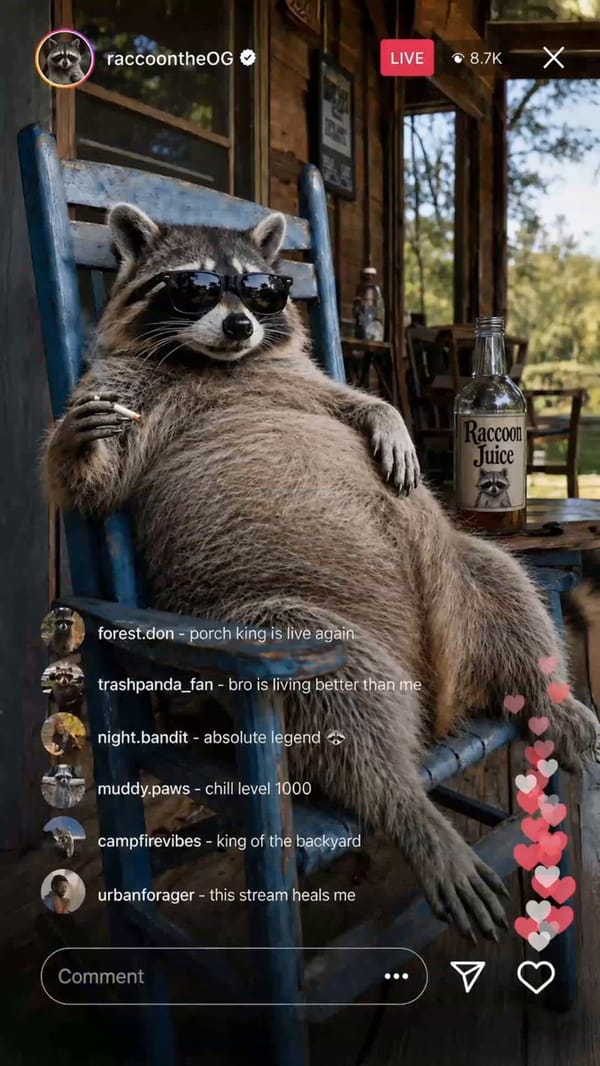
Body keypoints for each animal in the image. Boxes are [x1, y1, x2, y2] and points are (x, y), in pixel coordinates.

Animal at [44, 204, 599, 940]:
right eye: (192, 287)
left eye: (262, 290)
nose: (240, 326)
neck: (216, 362)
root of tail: (444, 701)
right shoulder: (118, 390)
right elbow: (92, 482)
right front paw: (72, 447)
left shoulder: (303, 381)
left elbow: (352, 400)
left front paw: (386, 417)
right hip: (287, 631)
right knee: (348, 710)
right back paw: (411, 810)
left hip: (463, 581)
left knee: (504, 579)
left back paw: (548, 695)